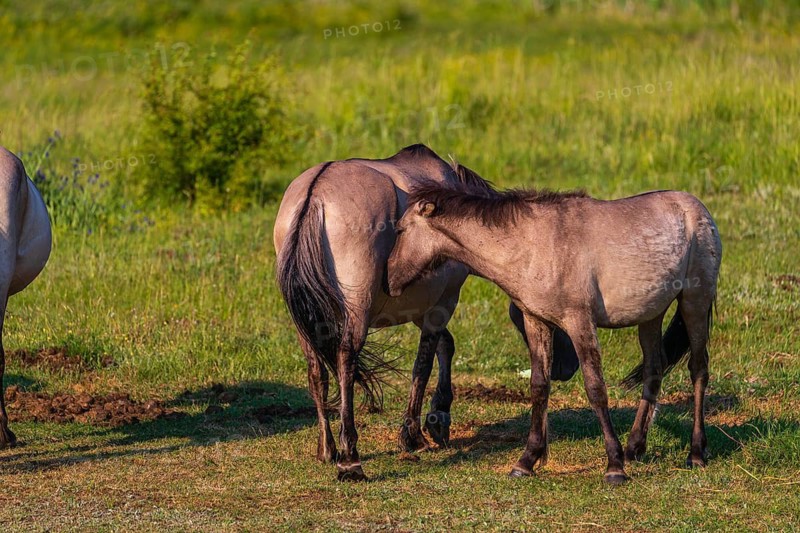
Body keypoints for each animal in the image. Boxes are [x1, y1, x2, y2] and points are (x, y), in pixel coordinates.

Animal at [274, 144, 579, 481]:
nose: (567, 368)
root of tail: (316, 194)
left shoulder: (426, 308)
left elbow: (444, 346)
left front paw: (437, 418)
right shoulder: (443, 303)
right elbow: (424, 363)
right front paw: (414, 433)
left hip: (307, 322)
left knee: (317, 372)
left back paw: (327, 448)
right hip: (356, 314)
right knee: (346, 361)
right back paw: (350, 458)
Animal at [387, 180, 721, 484]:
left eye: (400, 230)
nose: (389, 282)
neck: (533, 244)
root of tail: (698, 209)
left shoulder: (579, 323)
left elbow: (596, 389)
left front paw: (613, 466)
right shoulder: (536, 322)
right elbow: (539, 387)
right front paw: (526, 460)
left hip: (694, 302)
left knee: (698, 369)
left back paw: (695, 453)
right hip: (651, 315)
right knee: (654, 369)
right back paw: (635, 447)